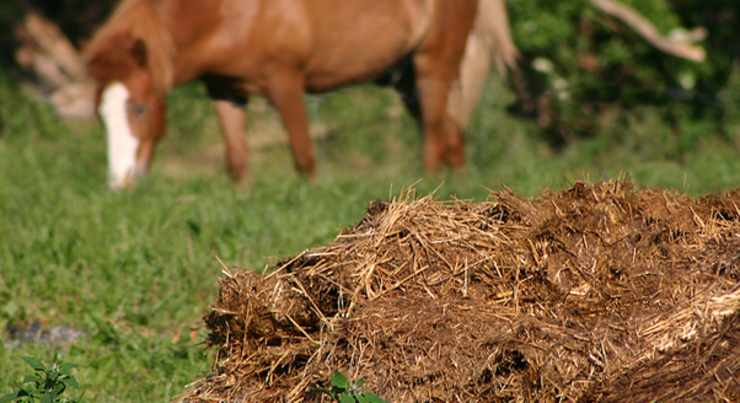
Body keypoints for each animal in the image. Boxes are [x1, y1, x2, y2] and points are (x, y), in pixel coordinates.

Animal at [85, 0, 516, 188]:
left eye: (140, 107)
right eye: (100, 115)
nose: (119, 181)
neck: (230, 12)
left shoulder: (285, 82)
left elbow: (304, 157)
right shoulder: (225, 90)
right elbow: (237, 161)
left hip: (433, 66)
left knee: (433, 140)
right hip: (405, 78)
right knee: (452, 134)